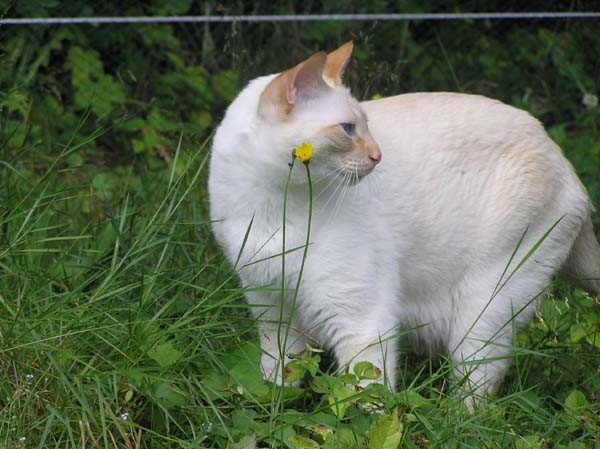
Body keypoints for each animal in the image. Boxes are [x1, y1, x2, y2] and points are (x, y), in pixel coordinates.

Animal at [207, 42, 600, 404]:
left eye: (365, 126)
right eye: (348, 129)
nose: (377, 156)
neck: (274, 210)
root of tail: (565, 163)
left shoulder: (360, 319)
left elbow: (365, 401)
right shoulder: (272, 309)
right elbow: (279, 377)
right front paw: (273, 404)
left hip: (483, 311)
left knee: (476, 395)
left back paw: (456, 416)